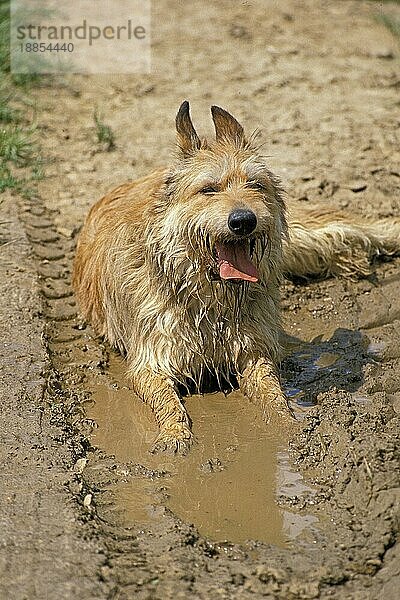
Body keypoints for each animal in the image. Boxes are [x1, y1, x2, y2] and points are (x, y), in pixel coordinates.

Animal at [72, 99, 400, 454]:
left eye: (255, 184)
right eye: (208, 190)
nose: (244, 221)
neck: (211, 297)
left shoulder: (254, 351)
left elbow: (272, 392)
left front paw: (287, 425)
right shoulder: (151, 361)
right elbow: (168, 402)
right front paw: (175, 436)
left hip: (303, 232)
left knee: (351, 228)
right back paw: (352, 260)